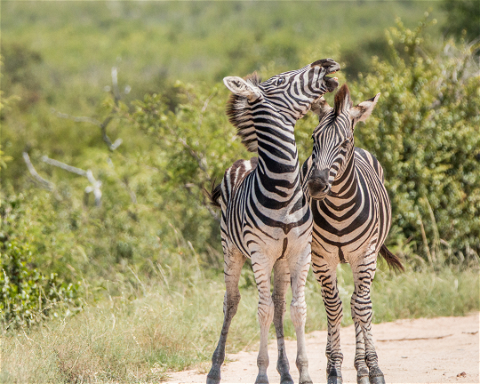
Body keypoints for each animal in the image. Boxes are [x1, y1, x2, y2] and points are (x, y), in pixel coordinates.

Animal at [208, 57, 340, 384]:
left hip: (281, 260)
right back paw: (215, 370)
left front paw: (303, 373)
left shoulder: (300, 252)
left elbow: (297, 310)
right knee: (232, 302)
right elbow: (263, 311)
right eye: (280, 81)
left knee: (280, 304)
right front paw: (261, 374)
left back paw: (285, 372)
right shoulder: (260, 255)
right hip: (232, 251)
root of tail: (247, 159)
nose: (327, 63)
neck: (284, 188)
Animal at [302, 85, 404, 384]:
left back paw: (362, 367)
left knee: (359, 302)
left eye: (344, 143)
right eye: (314, 138)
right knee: (339, 302)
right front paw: (334, 368)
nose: (316, 185)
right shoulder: (321, 258)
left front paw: (374, 368)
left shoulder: (365, 255)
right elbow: (333, 308)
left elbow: (362, 307)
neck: (338, 208)